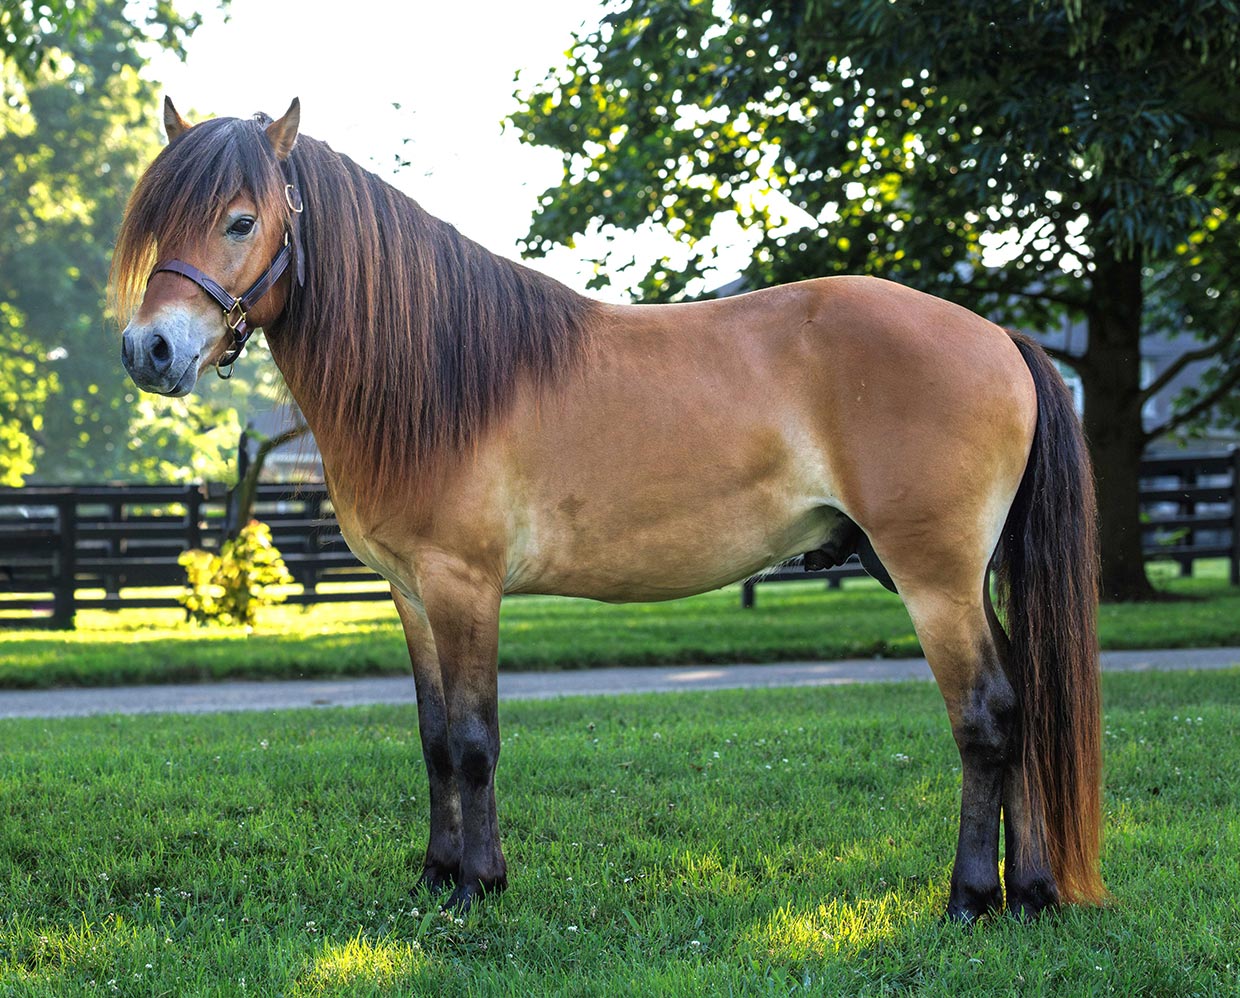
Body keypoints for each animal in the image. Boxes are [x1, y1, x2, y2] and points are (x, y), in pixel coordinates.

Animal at [113, 97, 1104, 920]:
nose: (148, 350)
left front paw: (478, 887)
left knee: (986, 717)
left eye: (241, 220)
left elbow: (473, 740)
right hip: (956, 577)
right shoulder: (410, 592)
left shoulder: (465, 587)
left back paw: (971, 899)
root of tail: (996, 335)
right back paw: (1033, 894)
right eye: (156, 220)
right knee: (1022, 701)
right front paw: (435, 876)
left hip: (932, 575)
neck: (440, 372)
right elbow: (433, 738)